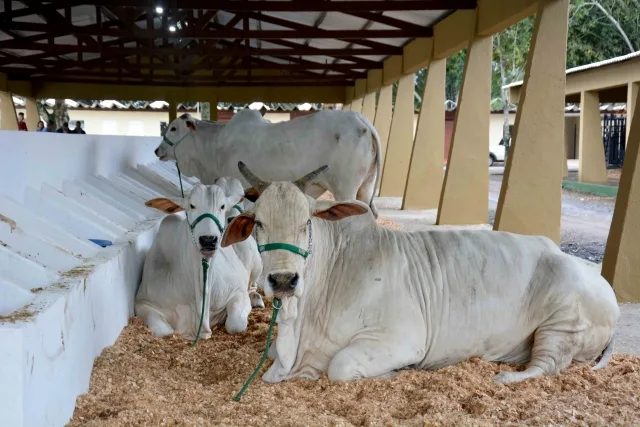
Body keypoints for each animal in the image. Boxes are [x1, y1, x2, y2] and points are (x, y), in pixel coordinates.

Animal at [136, 184, 258, 342]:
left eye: (222, 206)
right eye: (192, 205)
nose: (208, 240)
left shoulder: (237, 290)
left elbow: (235, 324)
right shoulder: (142, 303)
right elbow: (164, 331)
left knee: (253, 286)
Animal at [152, 108, 382, 219]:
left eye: (173, 128)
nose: (157, 150)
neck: (215, 146)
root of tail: (361, 120)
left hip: (345, 189)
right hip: (365, 187)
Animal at [224, 163, 620, 384]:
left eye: (306, 222)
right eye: (258, 223)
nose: (283, 281)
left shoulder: (400, 338)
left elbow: (339, 366)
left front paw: (398, 373)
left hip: (561, 326)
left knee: (547, 366)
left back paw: (506, 376)